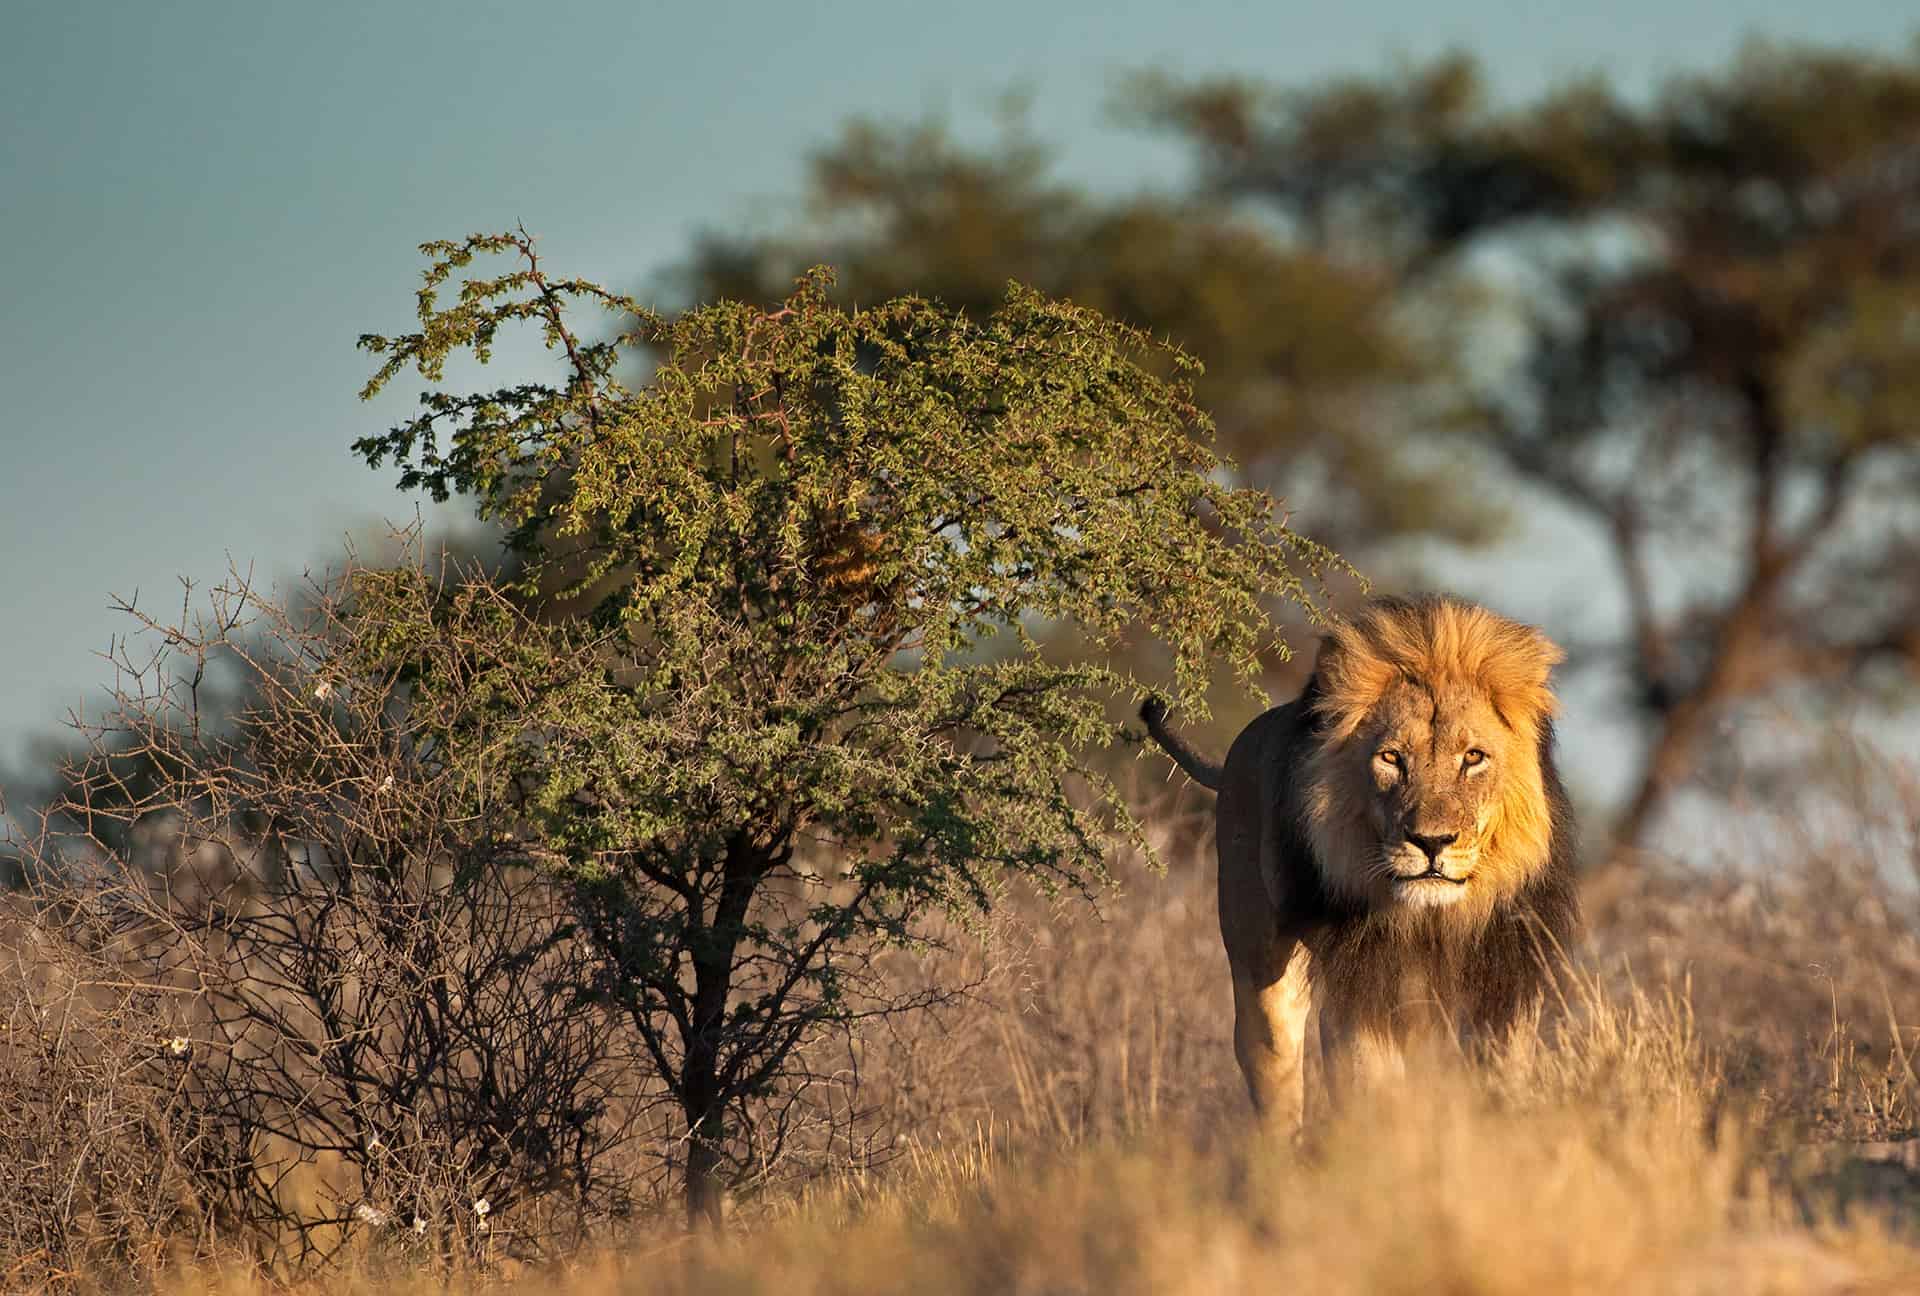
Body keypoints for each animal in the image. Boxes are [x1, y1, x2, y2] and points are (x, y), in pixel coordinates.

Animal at [1136, 591, 1574, 1128]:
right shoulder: (1363, 991)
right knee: (1277, 1076)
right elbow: (1375, 1093)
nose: (1432, 842)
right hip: (1262, 971)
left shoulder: (1503, 989)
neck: (1433, 922)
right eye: (1391, 758)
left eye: (1473, 757)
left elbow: (1497, 1084)